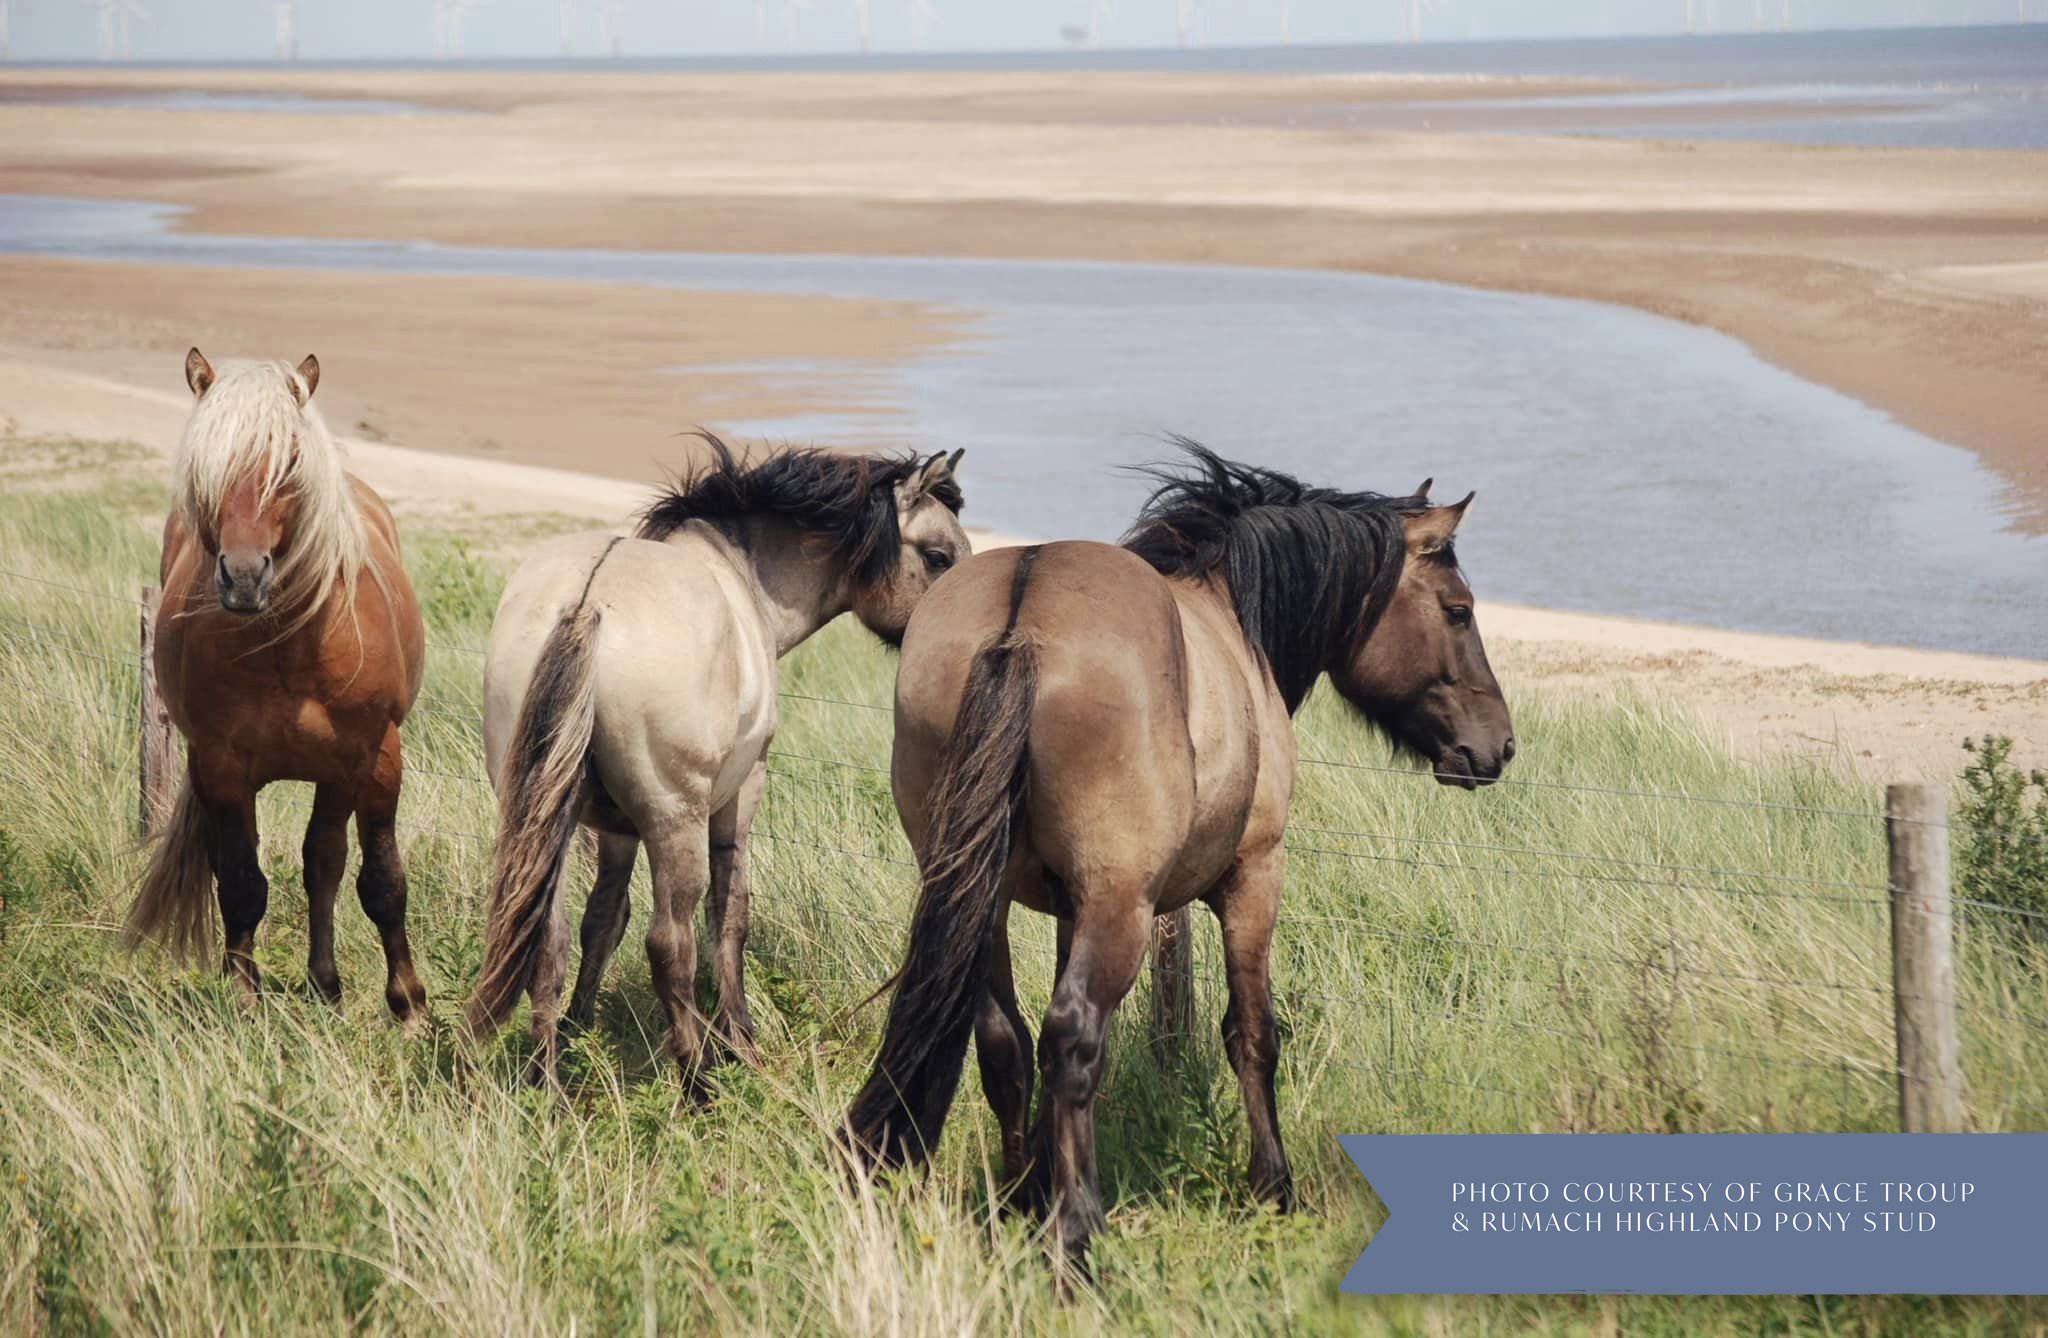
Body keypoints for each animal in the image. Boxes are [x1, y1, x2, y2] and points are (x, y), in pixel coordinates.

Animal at [124, 348, 430, 1025]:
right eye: (207, 462)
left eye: (289, 459)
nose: (243, 576)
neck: (288, 644)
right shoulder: (220, 766)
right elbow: (241, 882)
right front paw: (242, 996)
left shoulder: (374, 758)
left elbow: (382, 882)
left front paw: (410, 1008)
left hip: (338, 775)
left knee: (325, 863)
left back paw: (327, 983)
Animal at [465, 436, 969, 1091]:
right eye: (938, 557)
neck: (741, 579)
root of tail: (586, 605)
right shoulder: (739, 796)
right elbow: (729, 917)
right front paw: (741, 1041)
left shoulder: (615, 828)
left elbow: (602, 919)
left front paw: (580, 1027)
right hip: (674, 819)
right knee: (668, 945)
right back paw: (698, 1082)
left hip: (547, 817)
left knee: (545, 940)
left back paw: (546, 1086)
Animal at [845, 442, 1515, 1266]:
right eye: (1459, 610)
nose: (1498, 745)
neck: (1230, 617)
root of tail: (1019, 620)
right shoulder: (1254, 876)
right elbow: (1251, 1033)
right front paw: (1274, 1189)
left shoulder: (1067, 907)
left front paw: (1045, 1184)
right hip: (1121, 908)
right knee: (1072, 1036)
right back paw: (1077, 1239)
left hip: (987, 900)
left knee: (1007, 1042)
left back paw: (1022, 1202)